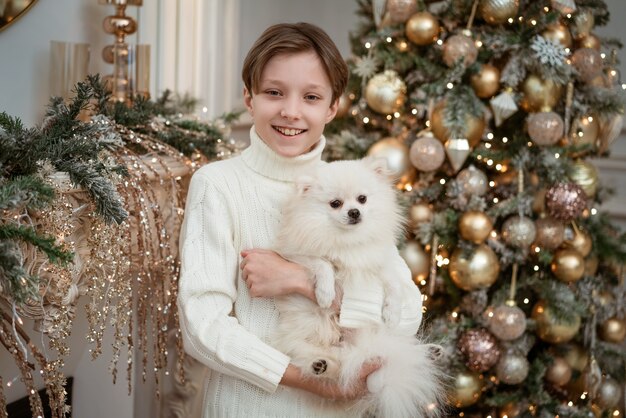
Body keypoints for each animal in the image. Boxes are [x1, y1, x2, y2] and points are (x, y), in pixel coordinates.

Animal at [272, 158, 444, 418]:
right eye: (335, 203)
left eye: (362, 199)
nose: (354, 212)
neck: (348, 241)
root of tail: (354, 350)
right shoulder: (296, 255)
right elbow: (323, 264)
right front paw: (325, 293)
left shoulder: (381, 263)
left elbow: (394, 285)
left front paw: (392, 313)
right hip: (306, 331)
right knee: (306, 354)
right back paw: (319, 365)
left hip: (379, 339)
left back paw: (432, 352)